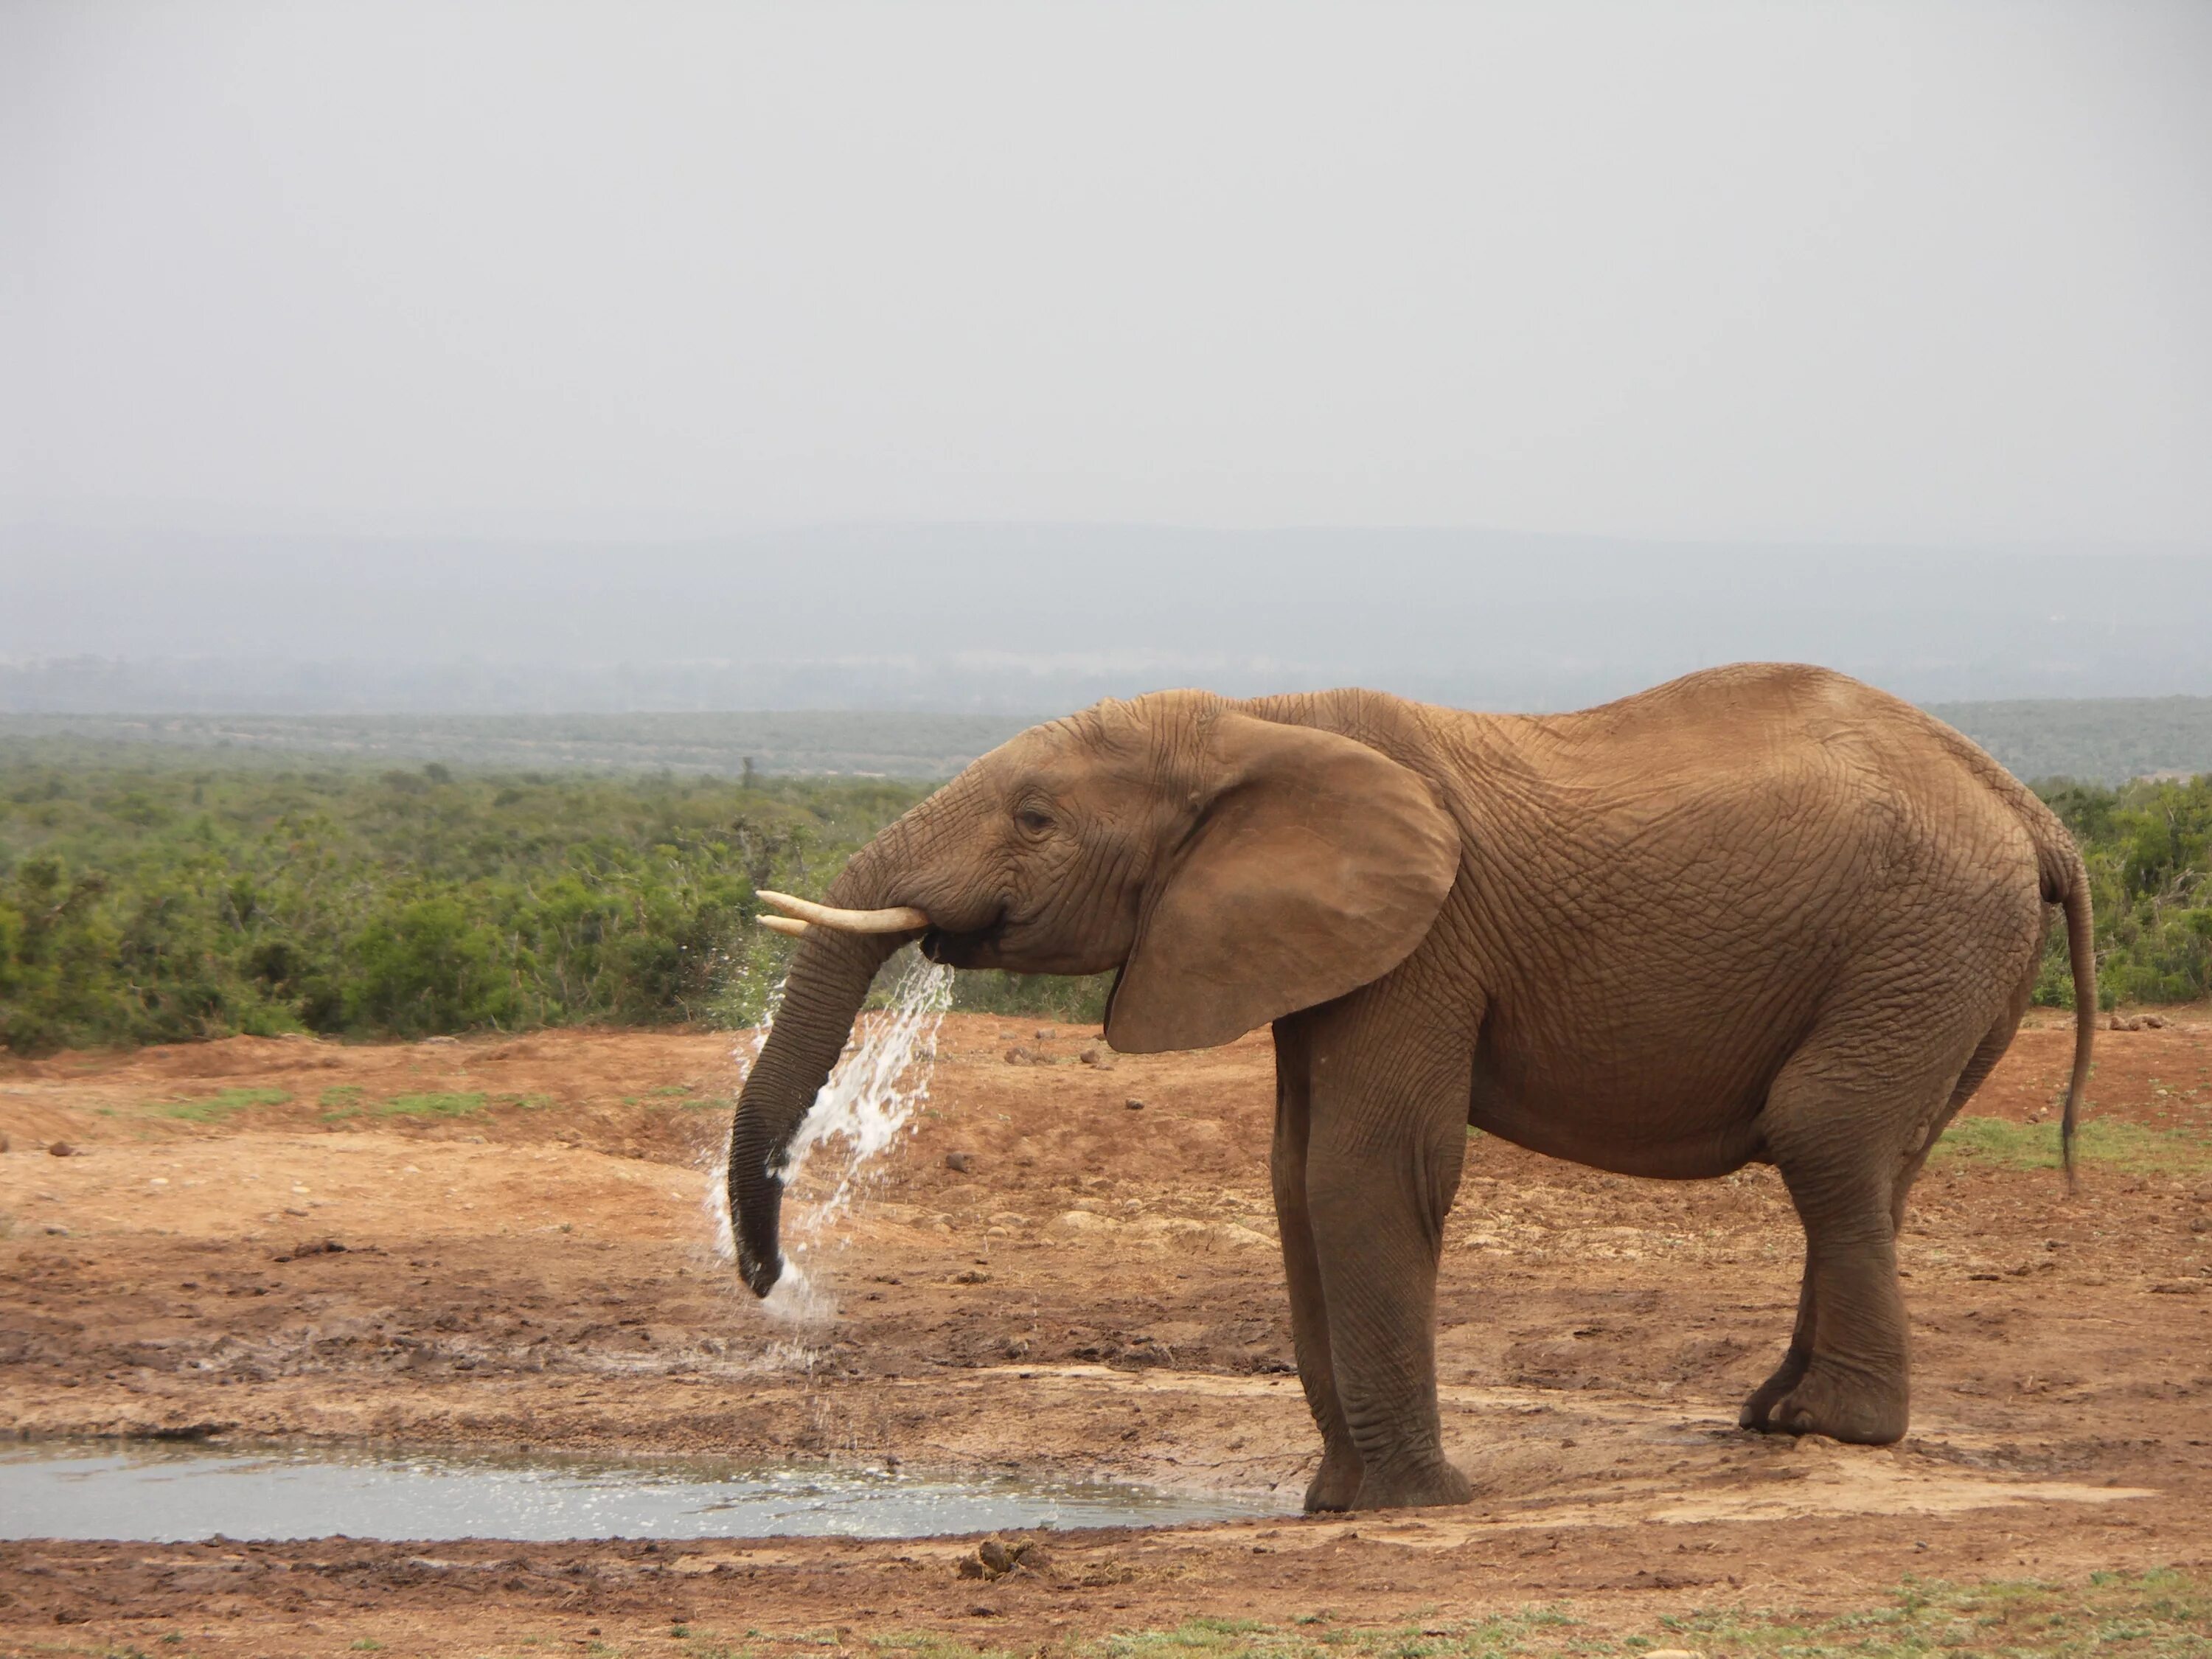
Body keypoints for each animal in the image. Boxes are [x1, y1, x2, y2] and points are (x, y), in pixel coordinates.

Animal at [730, 668, 2088, 1522]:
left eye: (1034, 818)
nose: (767, 1282)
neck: (1255, 722)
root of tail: (2032, 810)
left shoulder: (1430, 938)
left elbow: (1366, 1169)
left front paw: (1410, 1505)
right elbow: (1294, 1177)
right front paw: (1334, 1504)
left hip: (1925, 937)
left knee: (1825, 1138)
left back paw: (1831, 1431)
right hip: (1939, 961)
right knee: (1870, 1162)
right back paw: (1774, 1416)